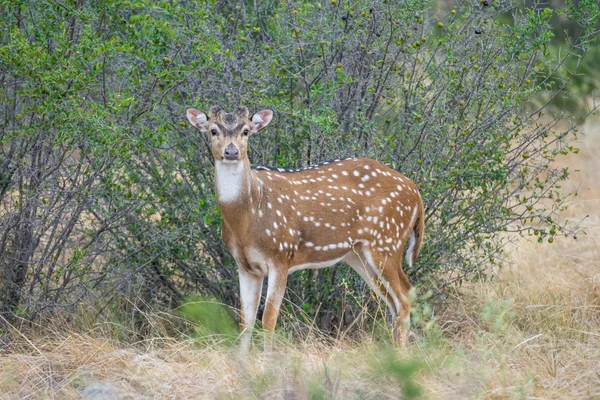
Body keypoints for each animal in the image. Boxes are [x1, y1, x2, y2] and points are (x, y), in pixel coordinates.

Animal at [185, 104, 424, 352]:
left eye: (246, 131)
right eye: (213, 130)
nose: (231, 152)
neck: (248, 220)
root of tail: (416, 193)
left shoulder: (282, 255)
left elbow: (268, 318)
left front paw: (265, 359)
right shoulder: (245, 265)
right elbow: (245, 320)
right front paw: (241, 359)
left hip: (386, 242)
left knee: (403, 299)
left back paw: (401, 354)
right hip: (359, 256)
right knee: (398, 298)